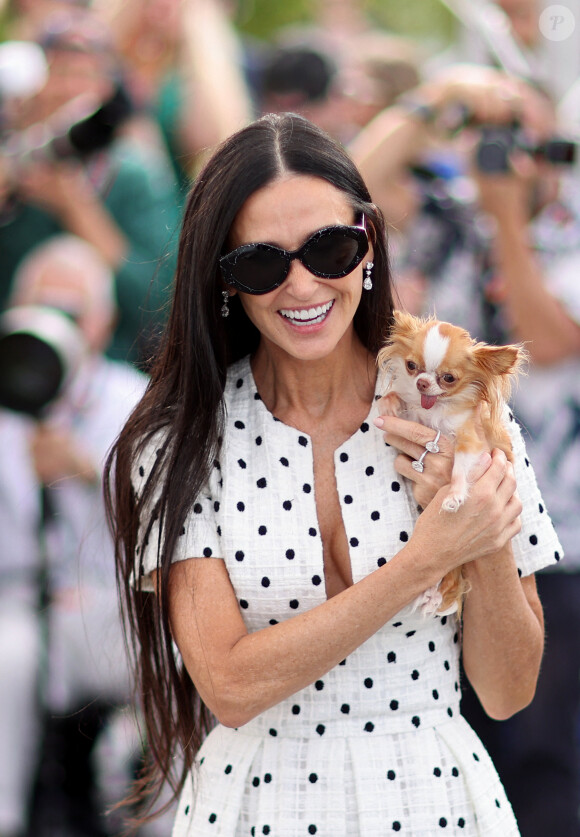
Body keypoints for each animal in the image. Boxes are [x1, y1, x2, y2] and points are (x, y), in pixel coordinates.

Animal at [376, 310, 524, 616]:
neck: (435, 409)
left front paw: (454, 496)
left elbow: (458, 471)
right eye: (411, 366)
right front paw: (389, 402)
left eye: (448, 378)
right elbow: (397, 399)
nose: (422, 382)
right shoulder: (414, 416)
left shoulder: (470, 441)